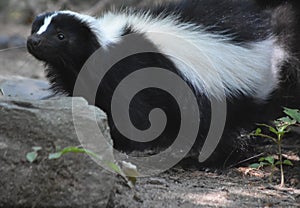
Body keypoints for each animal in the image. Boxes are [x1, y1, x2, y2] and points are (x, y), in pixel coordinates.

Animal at [26, 0, 300, 166]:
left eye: (61, 36)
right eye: (36, 29)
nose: (32, 42)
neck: (102, 45)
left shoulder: (133, 73)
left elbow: (134, 113)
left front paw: (128, 144)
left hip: (229, 99)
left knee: (230, 131)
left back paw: (210, 162)